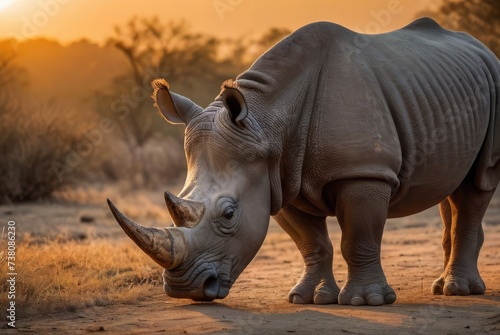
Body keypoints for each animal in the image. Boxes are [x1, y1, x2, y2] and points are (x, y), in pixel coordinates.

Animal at [106, 19, 500, 308]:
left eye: (229, 214)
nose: (184, 289)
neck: (267, 120)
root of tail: (483, 49)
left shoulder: (364, 171)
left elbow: (359, 236)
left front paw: (366, 302)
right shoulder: (277, 178)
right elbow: (312, 243)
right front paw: (309, 299)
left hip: (493, 82)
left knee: (478, 183)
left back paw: (458, 291)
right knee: (451, 188)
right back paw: (443, 285)